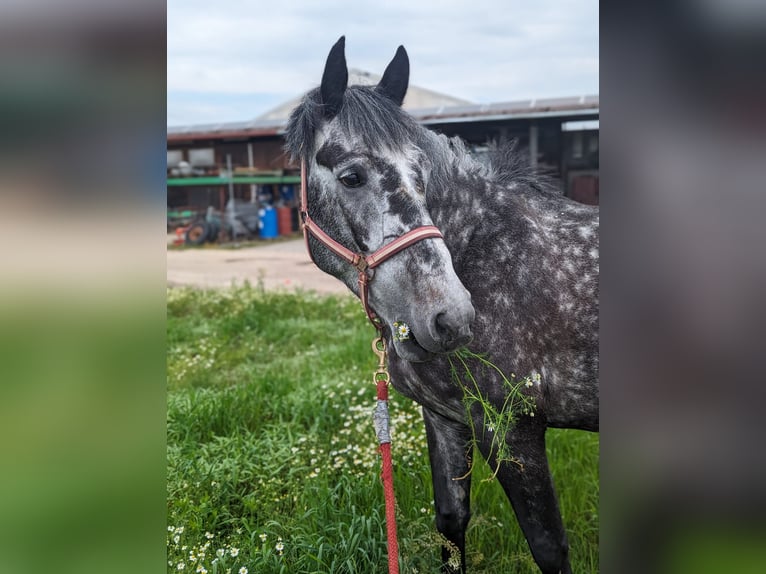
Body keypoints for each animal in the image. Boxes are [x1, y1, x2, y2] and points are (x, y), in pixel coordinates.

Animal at [285, 37, 599, 574]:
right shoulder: (446, 420)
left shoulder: (511, 428)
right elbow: (451, 525)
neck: (489, 252)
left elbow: (548, 546)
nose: (450, 318)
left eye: (421, 176)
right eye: (351, 177)